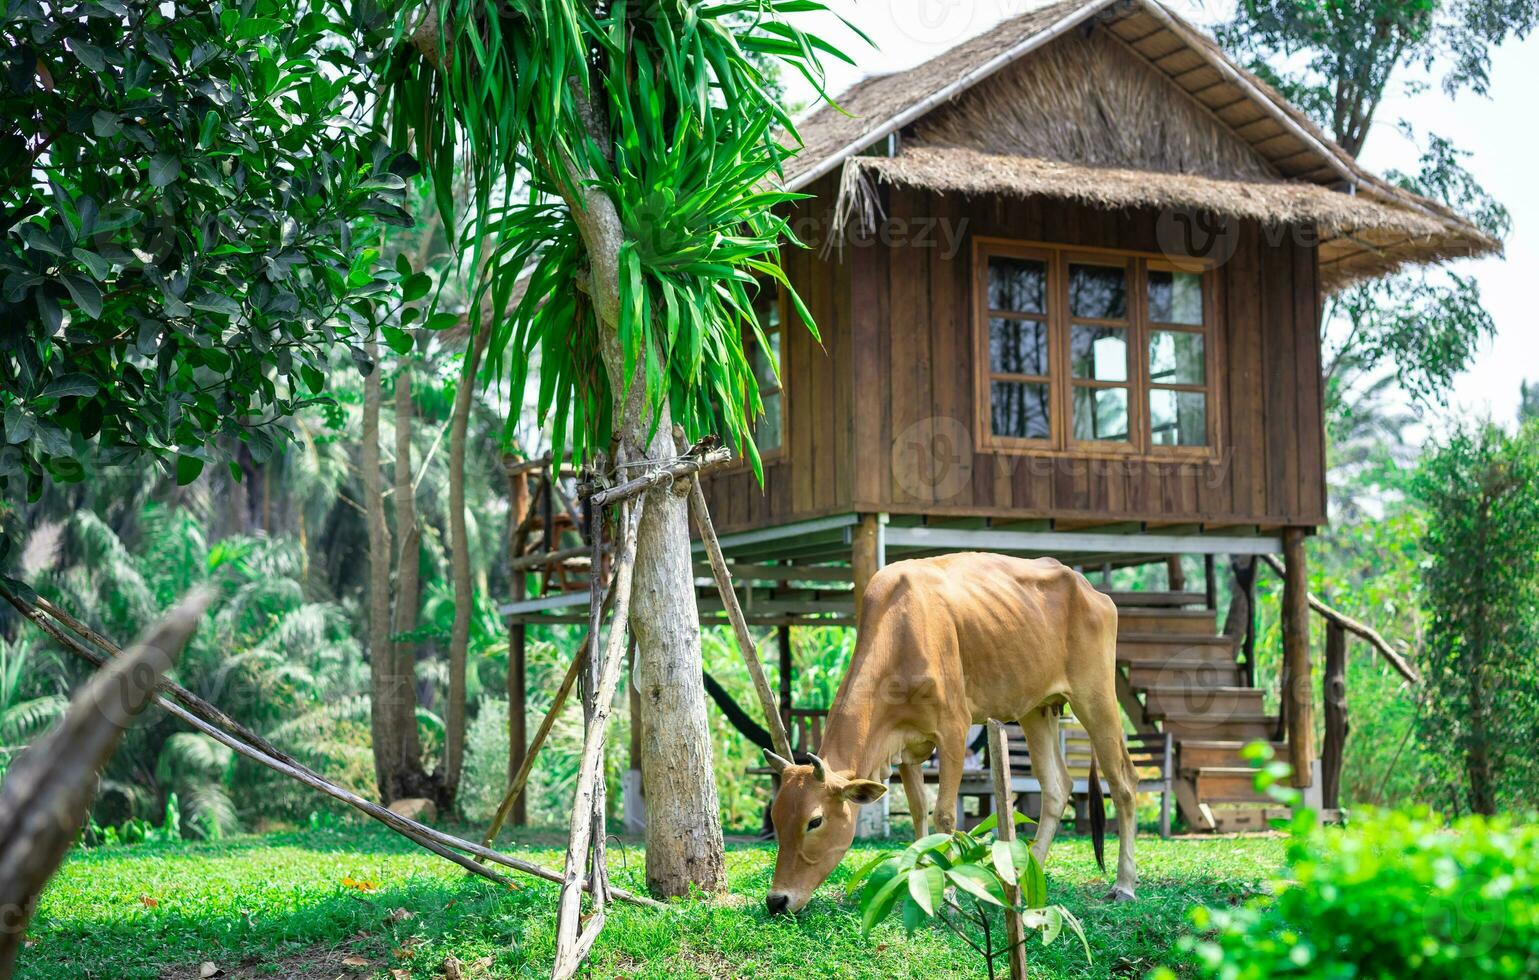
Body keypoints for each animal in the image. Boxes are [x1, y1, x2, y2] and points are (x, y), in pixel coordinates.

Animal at [763, 550, 1138, 910]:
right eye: (776, 816)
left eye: (815, 821)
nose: (777, 901)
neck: (900, 633)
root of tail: (1089, 588)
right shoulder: (906, 748)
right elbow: (918, 810)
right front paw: (915, 882)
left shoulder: (954, 731)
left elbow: (944, 815)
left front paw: (949, 892)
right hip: (1036, 710)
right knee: (1057, 787)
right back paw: (1027, 875)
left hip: (1096, 697)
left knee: (1124, 782)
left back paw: (1124, 885)